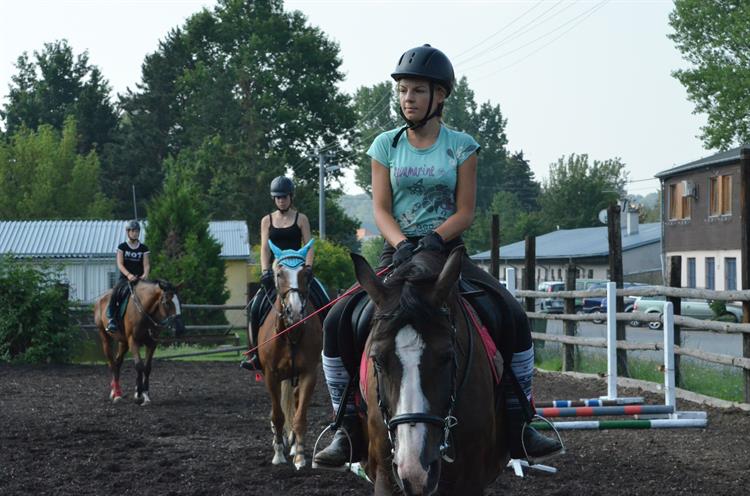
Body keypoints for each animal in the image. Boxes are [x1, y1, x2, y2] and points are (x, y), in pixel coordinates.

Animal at [258, 242, 324, 470]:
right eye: (279, 274)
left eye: (306, 274)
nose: (294, 312)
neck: (291, 333)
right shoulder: (270, 375)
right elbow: (277, 416)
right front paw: (278, 454)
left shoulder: (309, 374)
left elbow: (299, 416)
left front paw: (300, 457)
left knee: (294, 403)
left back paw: (294, 445)